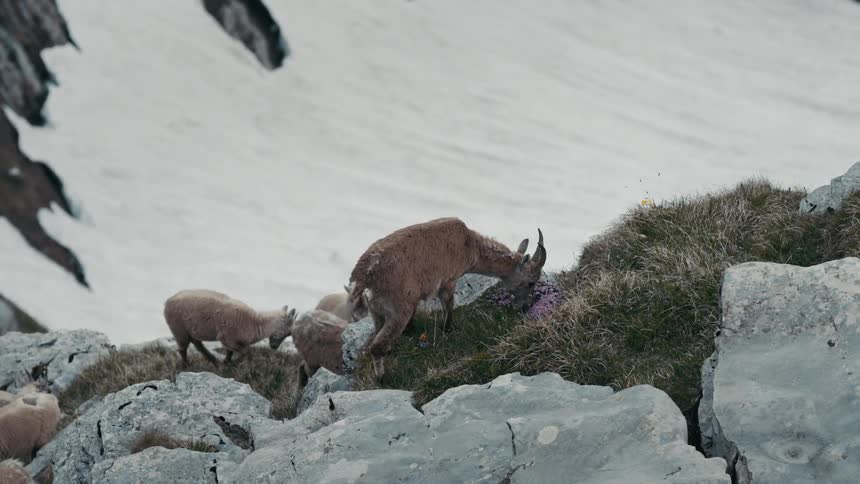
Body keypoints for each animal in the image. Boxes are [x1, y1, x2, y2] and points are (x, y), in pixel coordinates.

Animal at [348, 217, 546, 378]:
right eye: (531, 282)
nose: (526, 306)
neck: (470, 244)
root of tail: (365, 275)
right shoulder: (449, 280)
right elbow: (448, 305)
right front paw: (449, 329)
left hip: (376, 311)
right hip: (398, 310)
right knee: (377, 346)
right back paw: (383, 377)